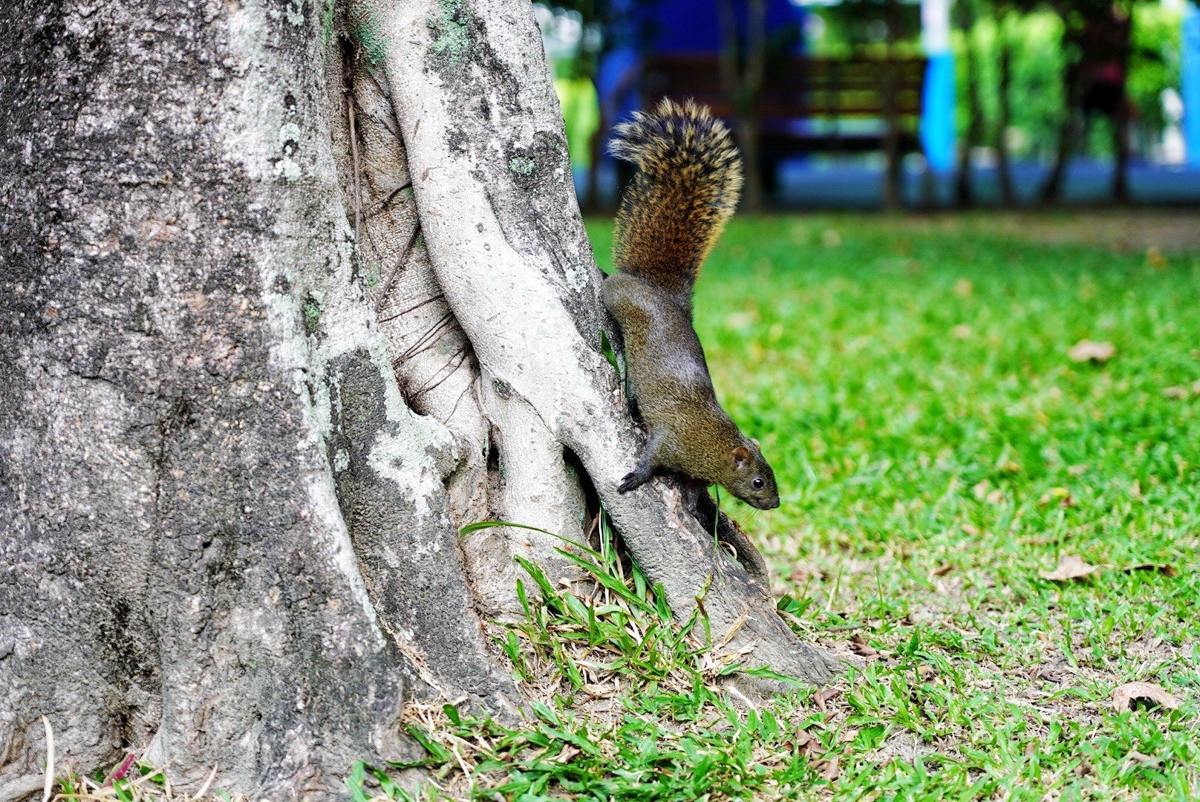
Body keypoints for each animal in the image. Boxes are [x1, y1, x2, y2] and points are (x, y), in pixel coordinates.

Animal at [600, 100, 777, 511]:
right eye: (759, 481)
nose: (776, 503)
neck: (713, 443)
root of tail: (662, 293)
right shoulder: (671, 438)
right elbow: (651, 457)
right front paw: (636, 476)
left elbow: (696, 487)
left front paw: (696, 503)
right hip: (620, 295)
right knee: (610, 287)